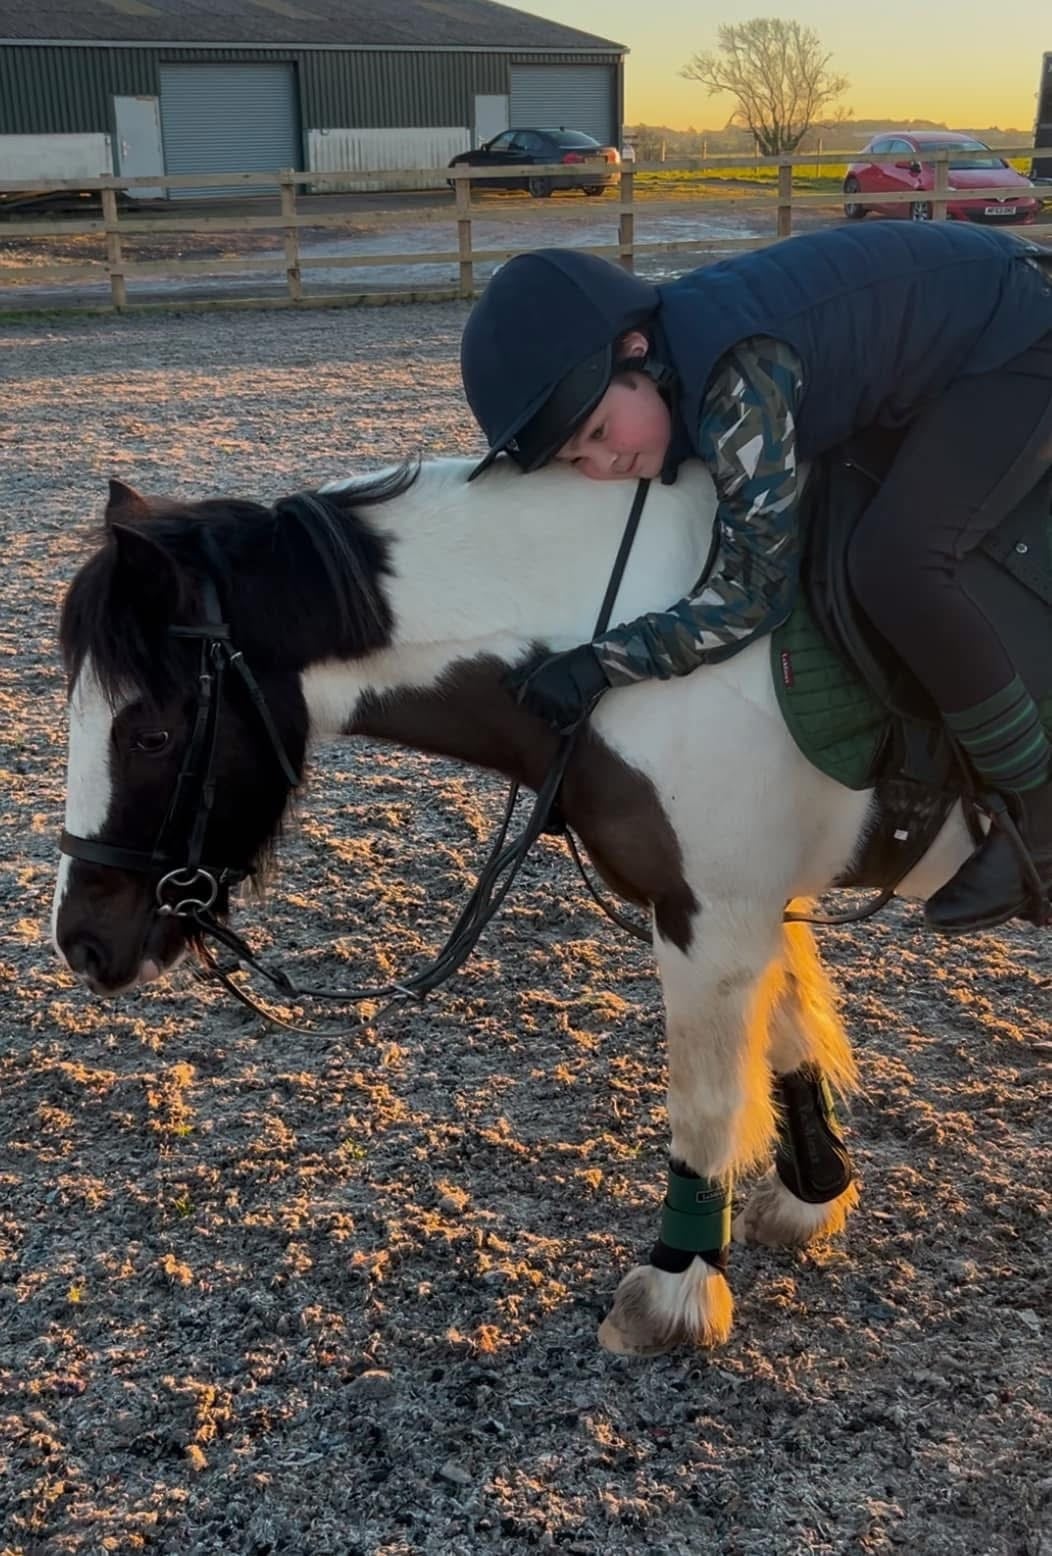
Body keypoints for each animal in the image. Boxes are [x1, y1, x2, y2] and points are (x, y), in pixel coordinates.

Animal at [51, 457, 980, 1357]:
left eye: (150, 735)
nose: (81, 942)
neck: (629, 652)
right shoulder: (748, 901)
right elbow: (788, 1041)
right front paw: (810, 1197)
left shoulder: (710, 916)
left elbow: (706, 1099)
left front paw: (677, 1287)